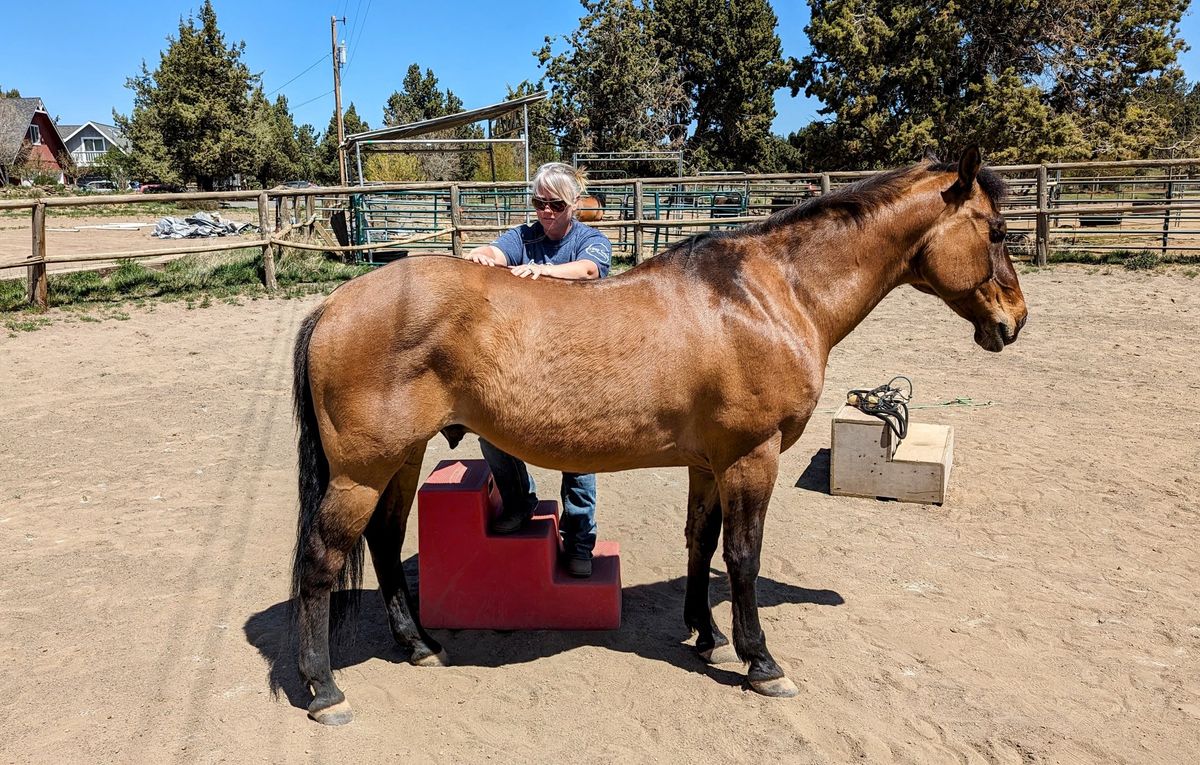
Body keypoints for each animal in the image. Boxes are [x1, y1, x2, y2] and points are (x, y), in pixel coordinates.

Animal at [290, 148, 1032, 724]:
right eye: (997, 230)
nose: (1015, 320)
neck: (767, 296)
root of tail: (335, 303)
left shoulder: (710, 464)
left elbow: (700, 541)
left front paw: (706, 634)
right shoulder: (751, 458)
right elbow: (743, 557)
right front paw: (760, 660)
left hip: (404, 458)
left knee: (385, 542)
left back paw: (418, 644)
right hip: (361, 471)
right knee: (324, 559)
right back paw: (324, 688)